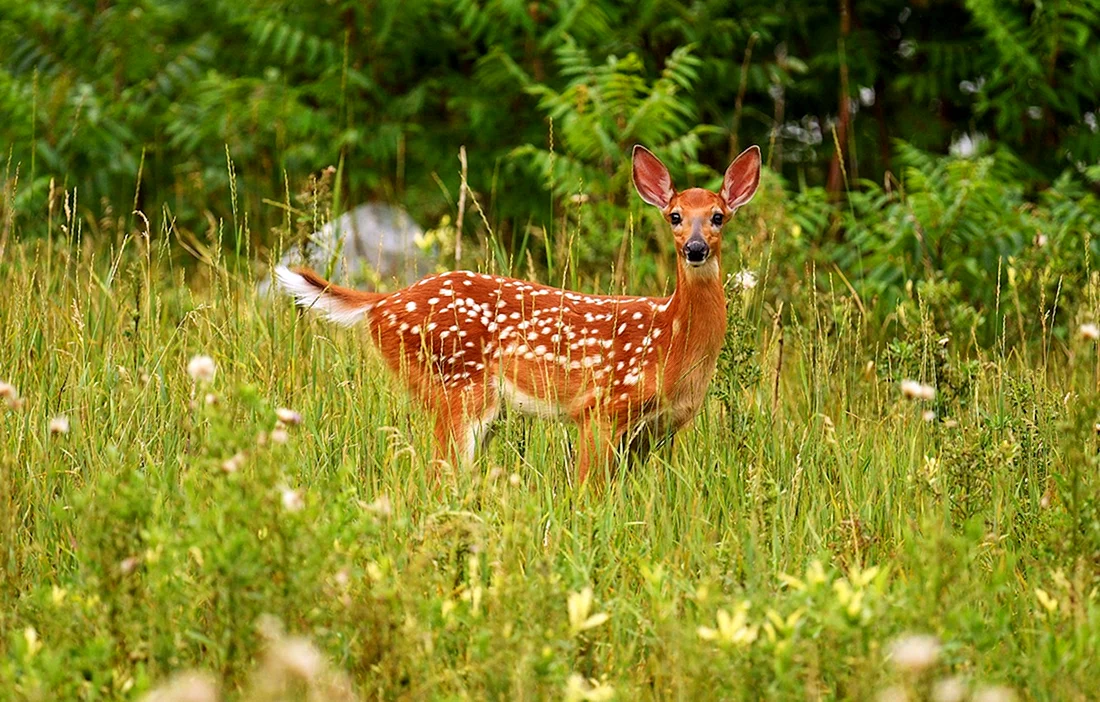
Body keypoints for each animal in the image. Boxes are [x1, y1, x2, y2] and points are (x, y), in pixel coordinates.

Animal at [276, 144, 761, 485]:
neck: (671, 340)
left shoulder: (660, 431)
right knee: (434, 478)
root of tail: (382, 303)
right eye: (674, 215)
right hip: (457, 386)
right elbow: (587, 491)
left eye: (718, 216)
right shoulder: (600, 407)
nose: (695, 248)